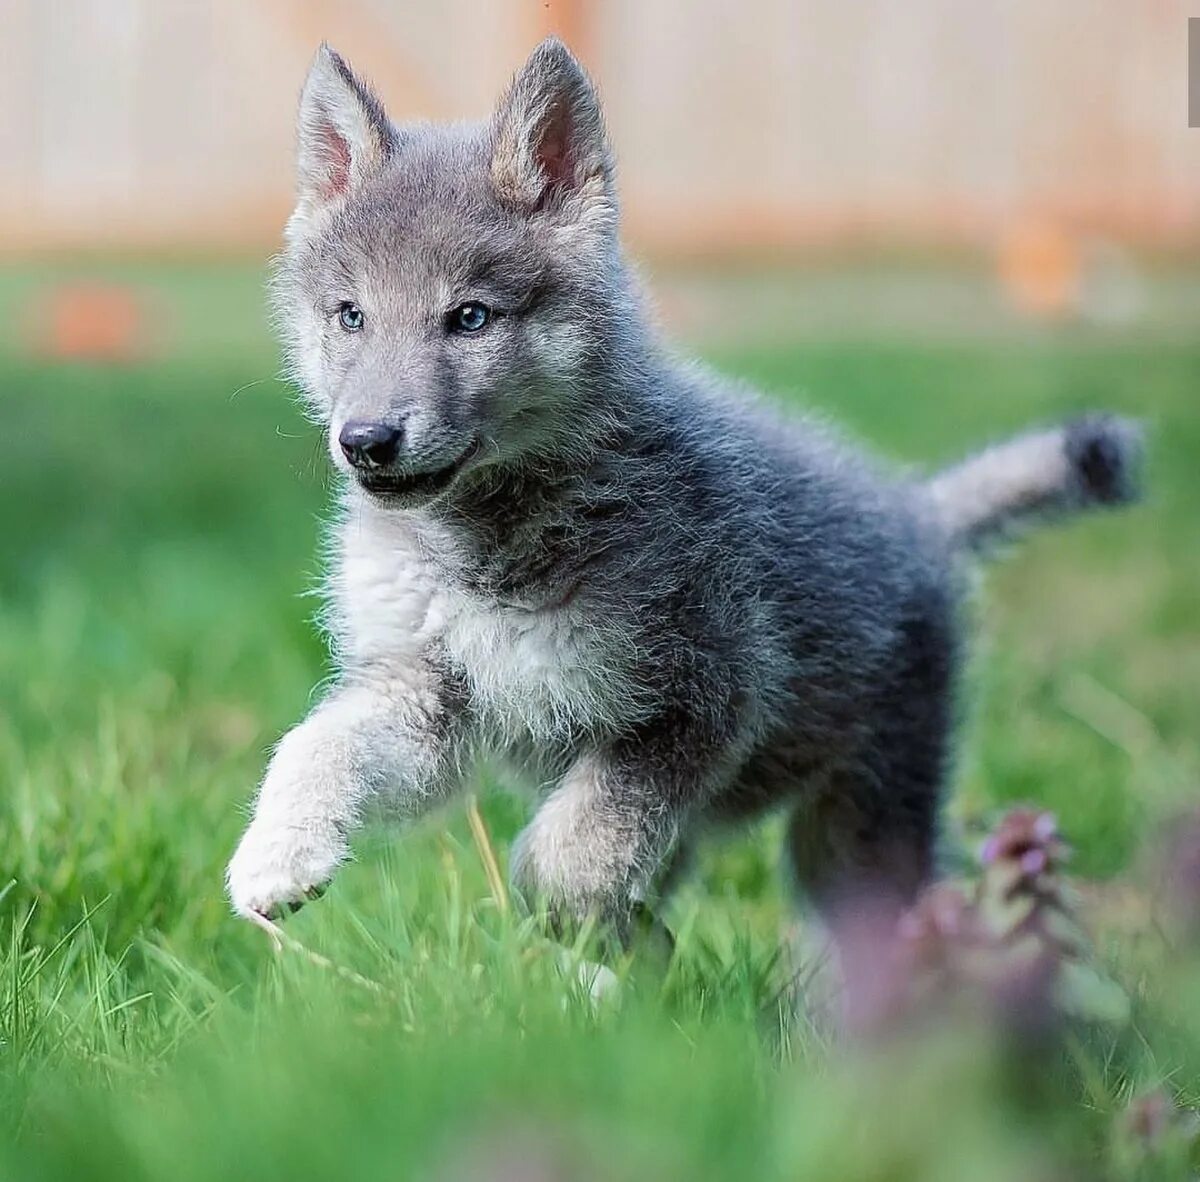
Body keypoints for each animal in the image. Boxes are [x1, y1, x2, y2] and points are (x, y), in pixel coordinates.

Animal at [226, 41, 1142, 936]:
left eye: (471, 318)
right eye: (350, 316)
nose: (366, 442)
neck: (485, 550)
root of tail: (919, 510)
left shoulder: (696, 702)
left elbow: (574, 848)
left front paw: (561, 916)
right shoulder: (422, 696)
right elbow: (314, 745)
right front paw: (277, 853)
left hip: (859, 822)